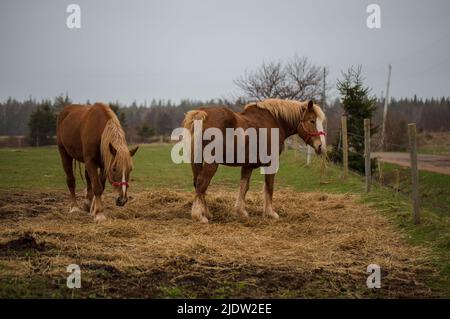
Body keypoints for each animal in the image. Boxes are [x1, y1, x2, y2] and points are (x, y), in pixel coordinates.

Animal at [181, 99, 326, 224]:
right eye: (312, 121)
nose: (321, 146)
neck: (275, 122)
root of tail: (201, 114)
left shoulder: (248, 165)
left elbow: (244, 186)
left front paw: (241, 212)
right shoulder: (271, 164)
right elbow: (269, 187)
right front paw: (270, 213)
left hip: (196, 162)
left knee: (199, 185)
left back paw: (206, 213)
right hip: (211, 163)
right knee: (202, 184)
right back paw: (199, 216)